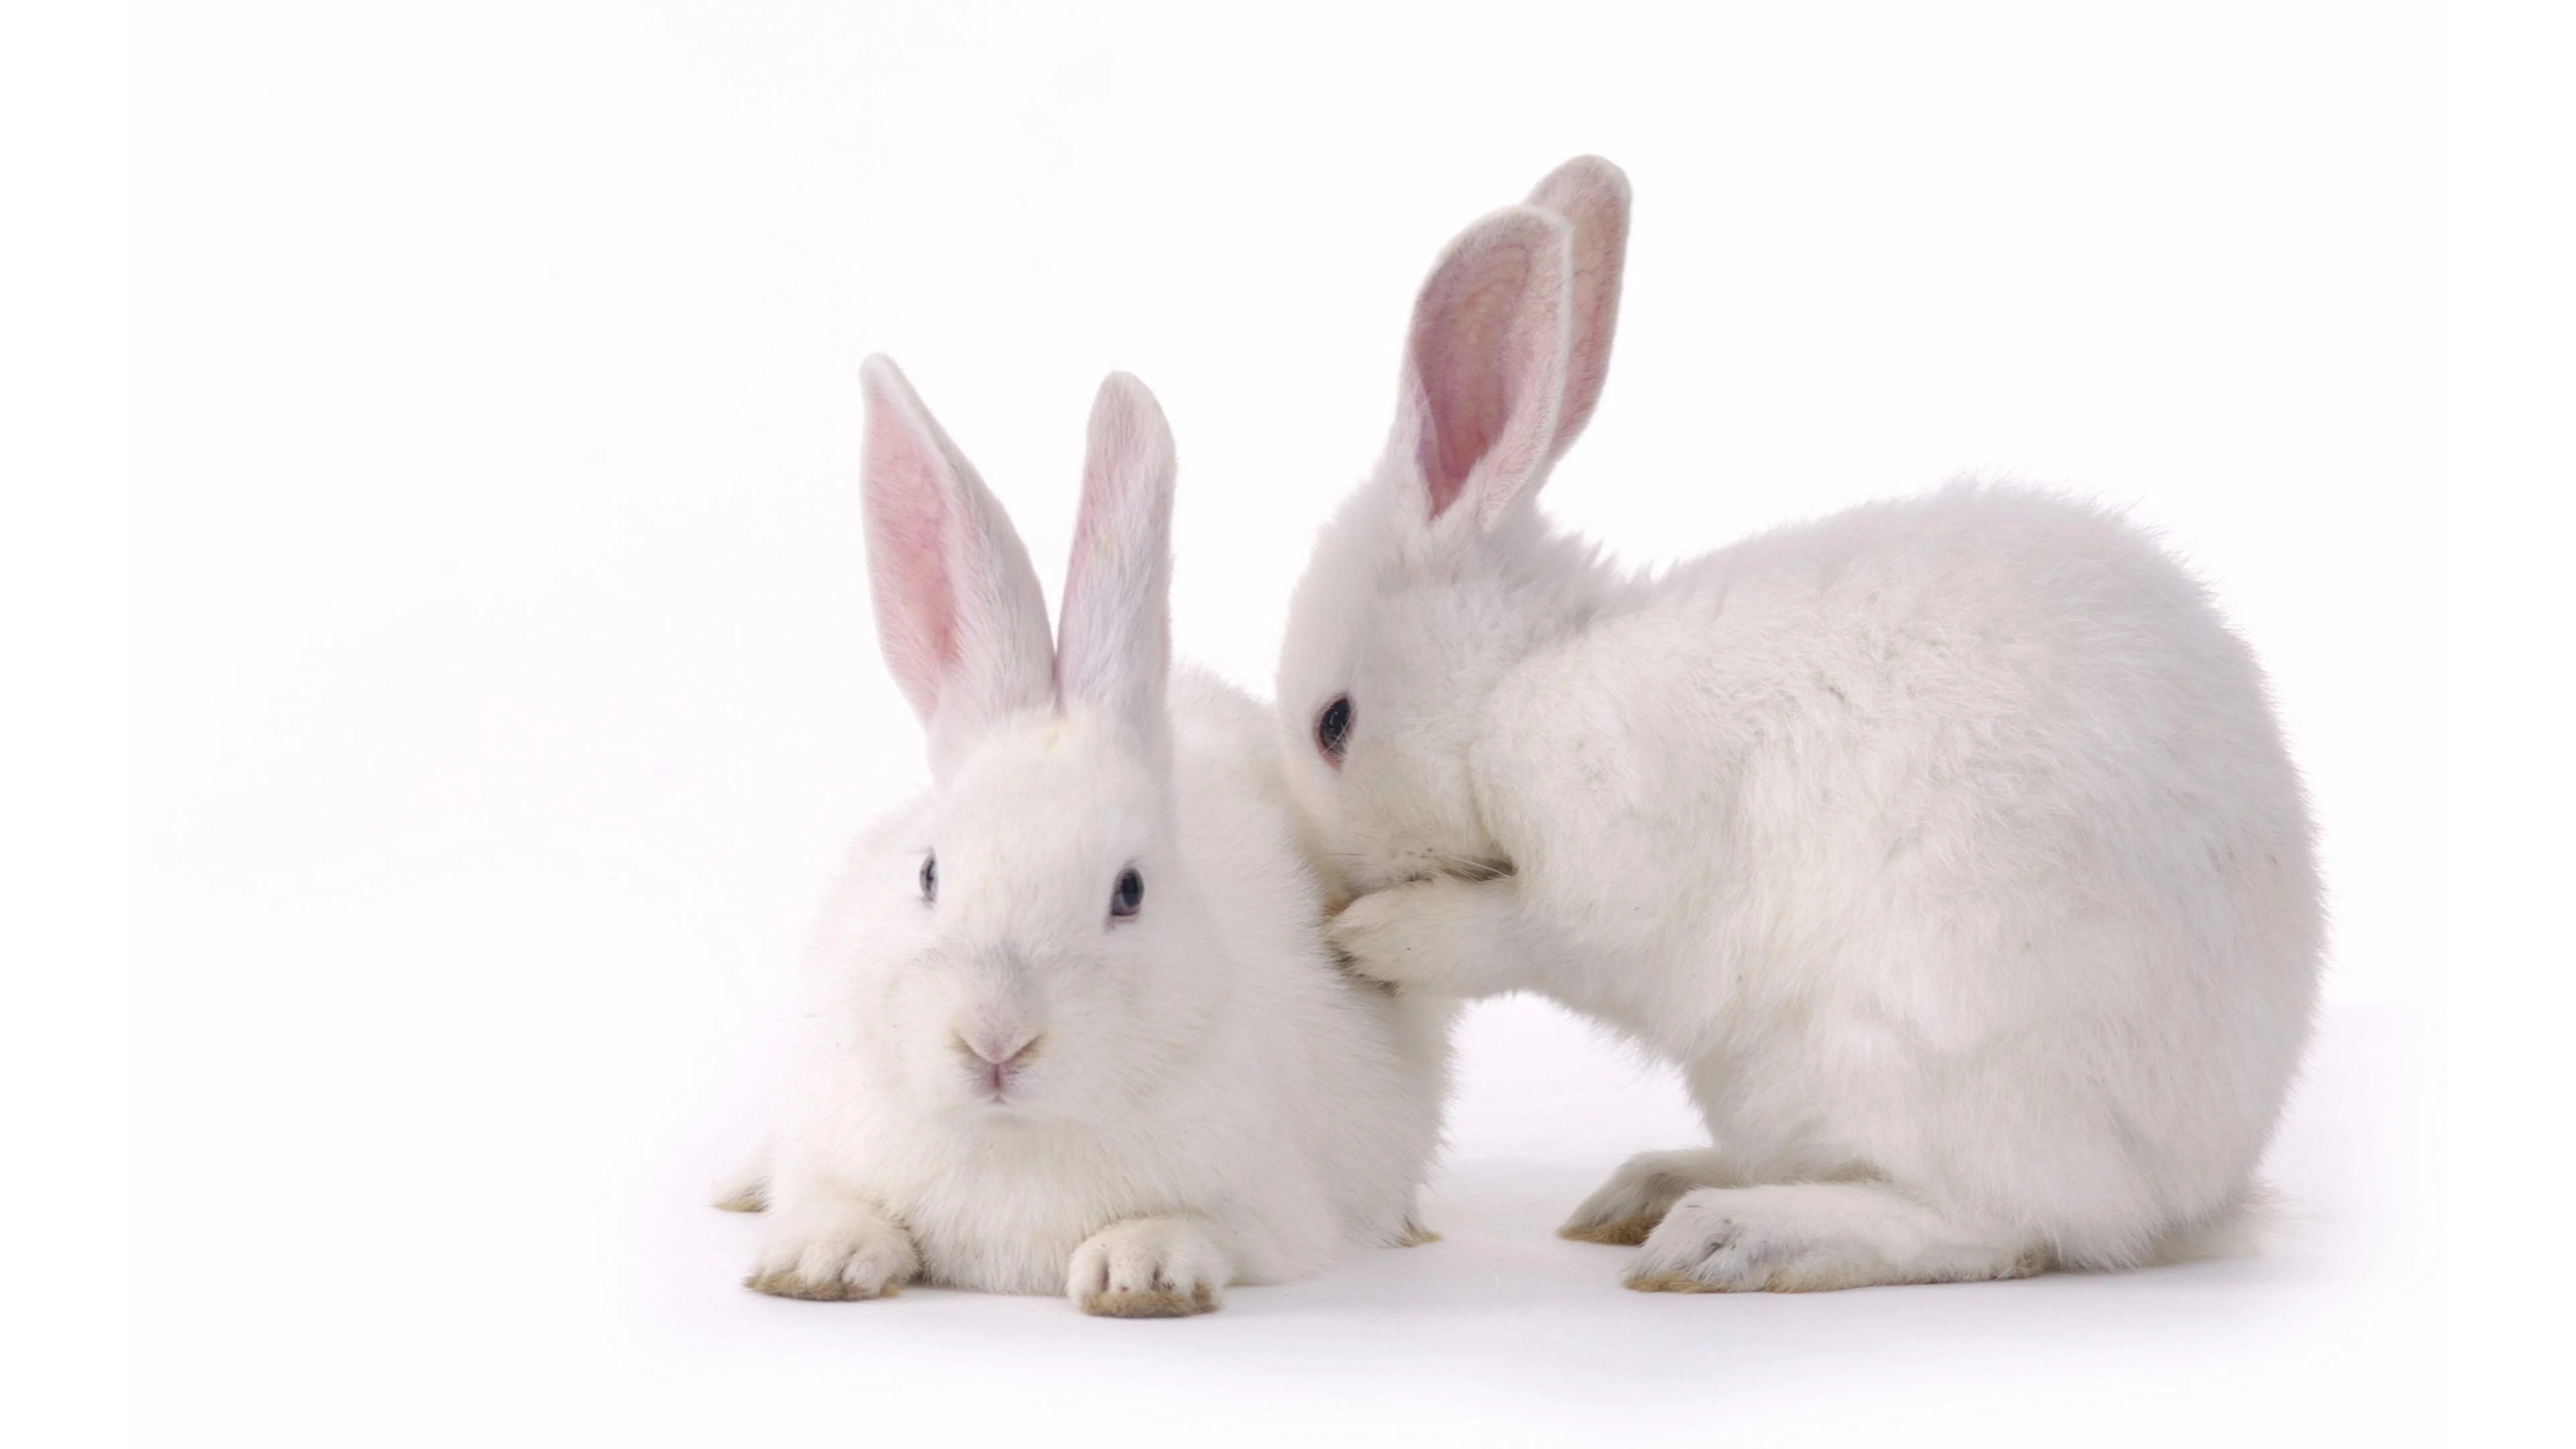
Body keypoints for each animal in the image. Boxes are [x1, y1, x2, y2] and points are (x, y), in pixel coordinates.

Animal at [733, 356, 1451, 1317]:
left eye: (1129, 892)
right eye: (928, 873)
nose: (995, 1040)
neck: (1014, 1137)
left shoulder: (1270, 1216)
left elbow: (1195, 1228)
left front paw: (1137, 1272)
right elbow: (834, 1199)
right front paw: (819, 1262)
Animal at [1277, 156, 2323, 1292]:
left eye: (1335, 725)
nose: (1334, 881)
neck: (1516, 684)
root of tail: (2195, 1189)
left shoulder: (1596, 869)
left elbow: (1512, 933)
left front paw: (1375, 937)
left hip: (1903, 1062)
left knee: (1993, 1224)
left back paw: (1725, 1237)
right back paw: (1648, 1188)